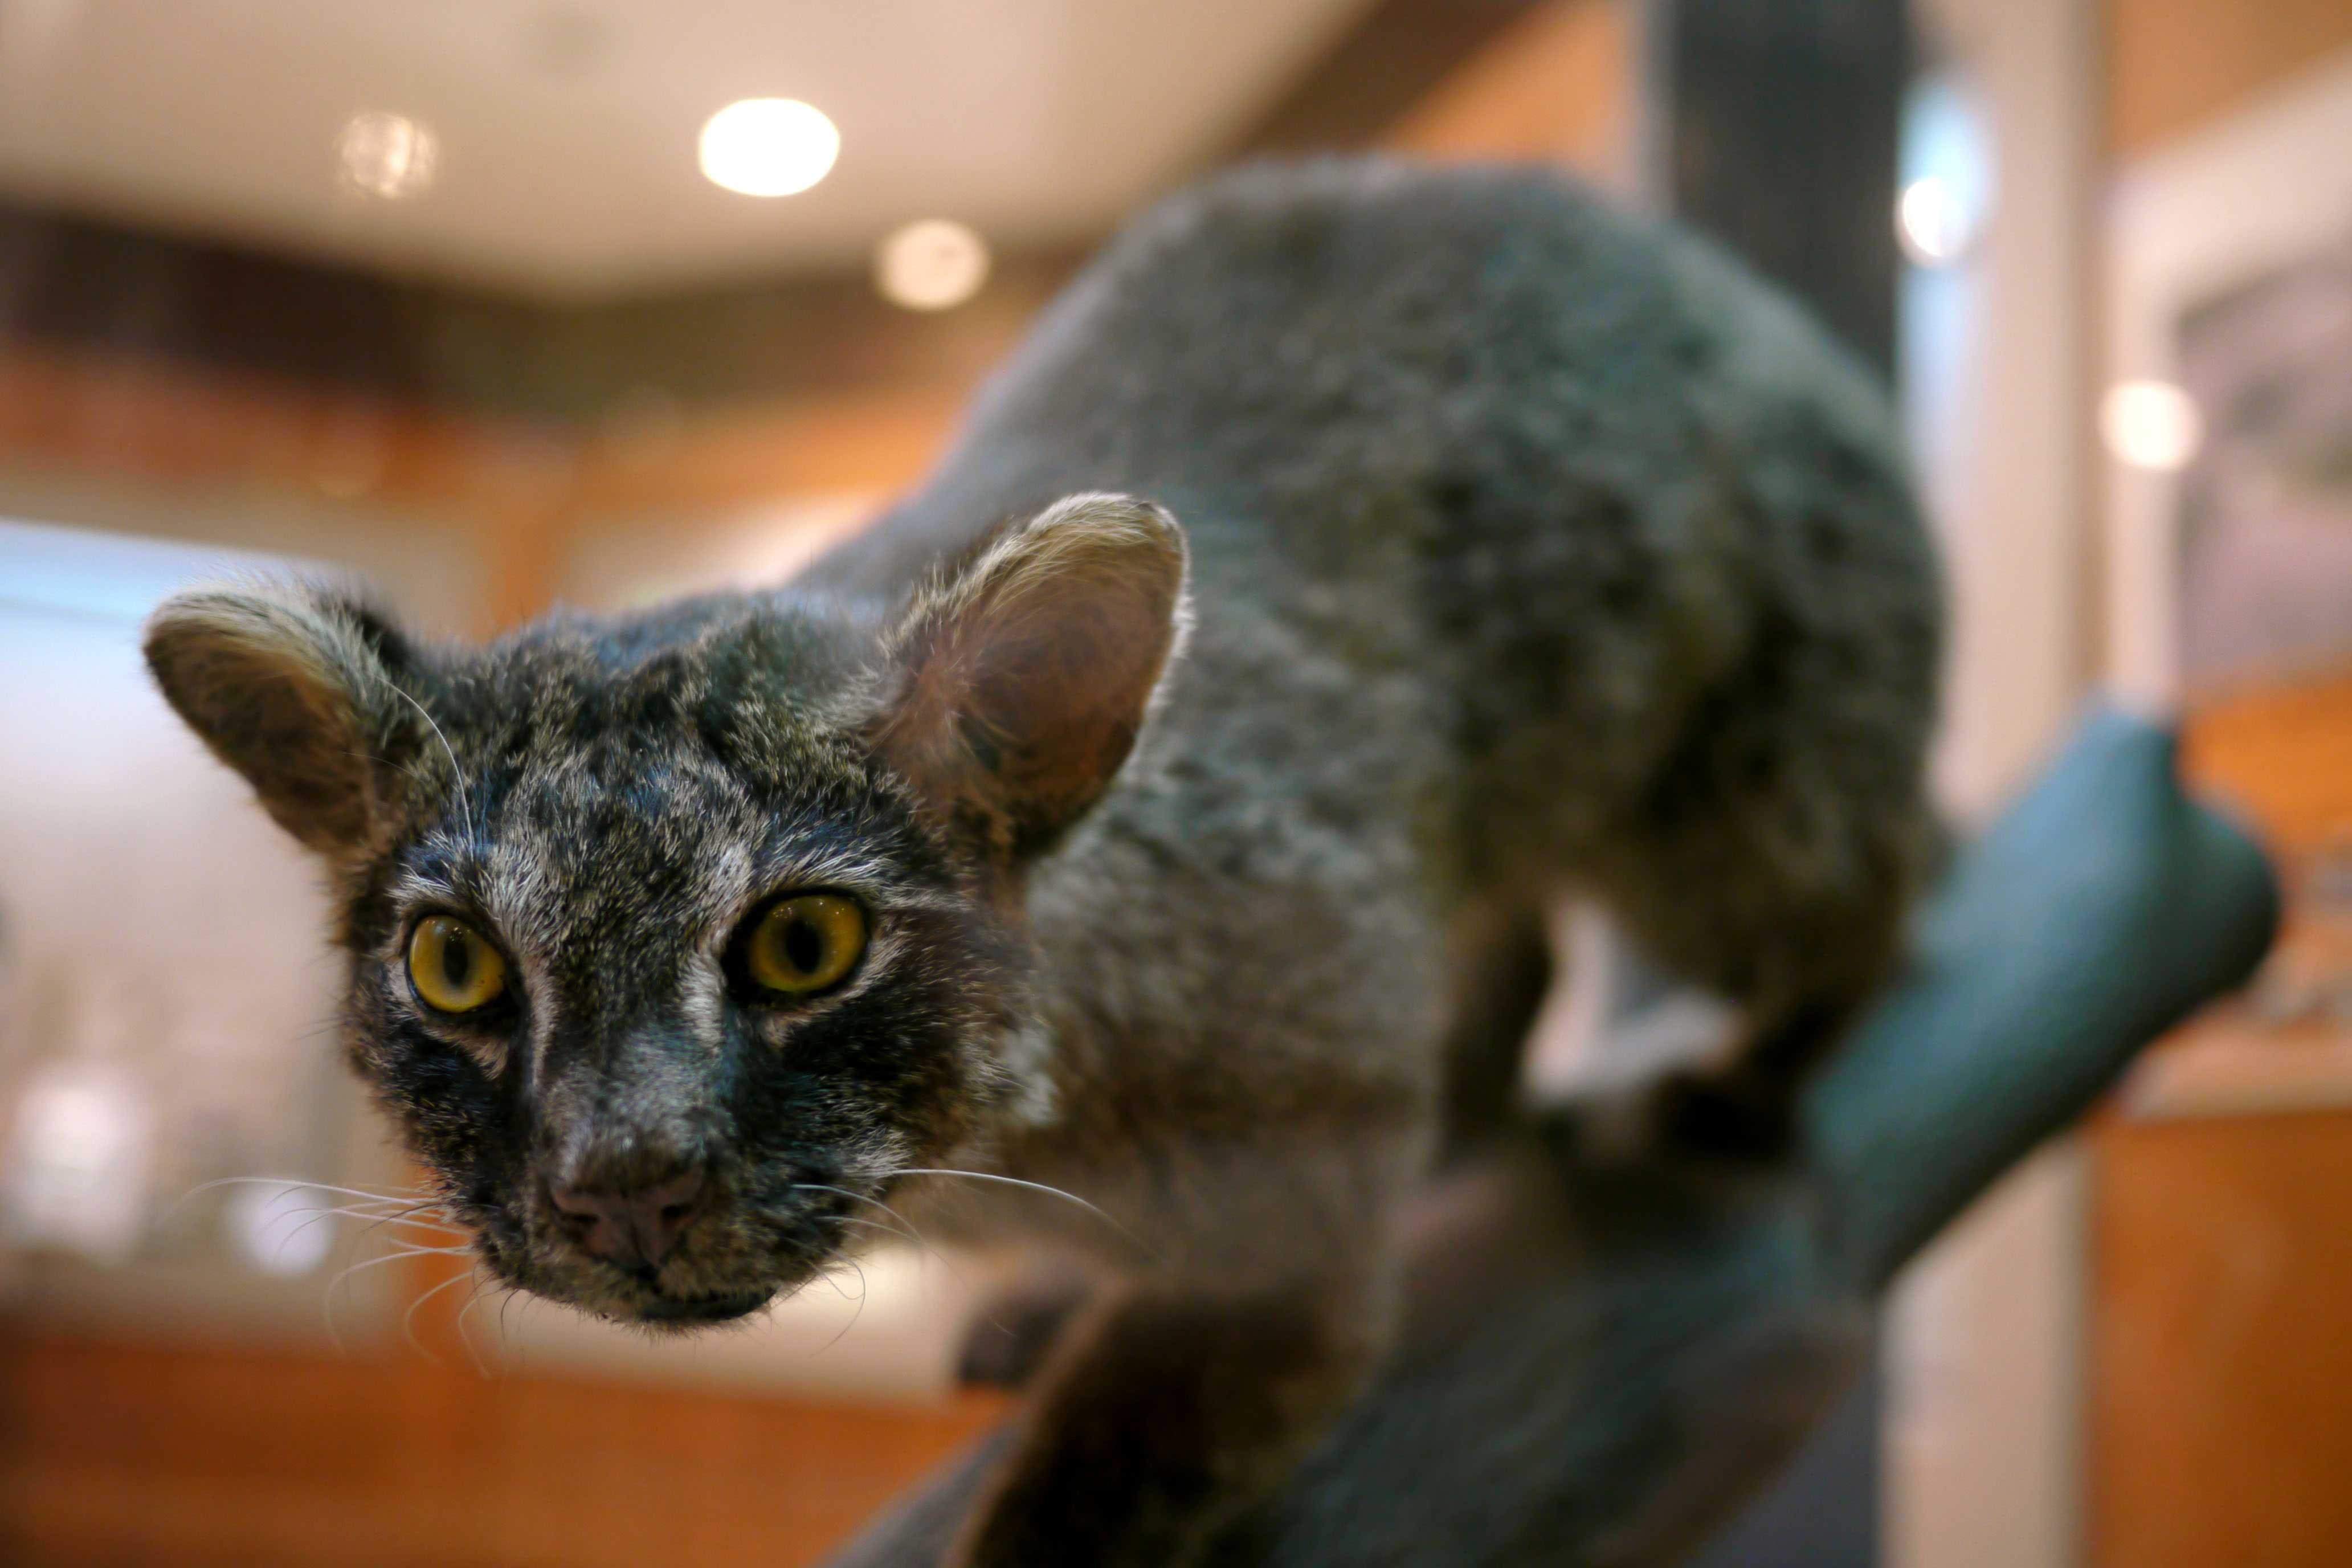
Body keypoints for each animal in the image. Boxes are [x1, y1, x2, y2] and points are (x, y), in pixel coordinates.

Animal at [156, 162, 1938, 1568]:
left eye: (803, 946)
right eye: (454, 968)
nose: (620, 1185)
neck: (983, 1145)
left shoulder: (1301, 1214)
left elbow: (1116, 1467)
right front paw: (1054, 1298)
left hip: (1741, 812)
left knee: (1883, 879)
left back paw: (1750, 1073)